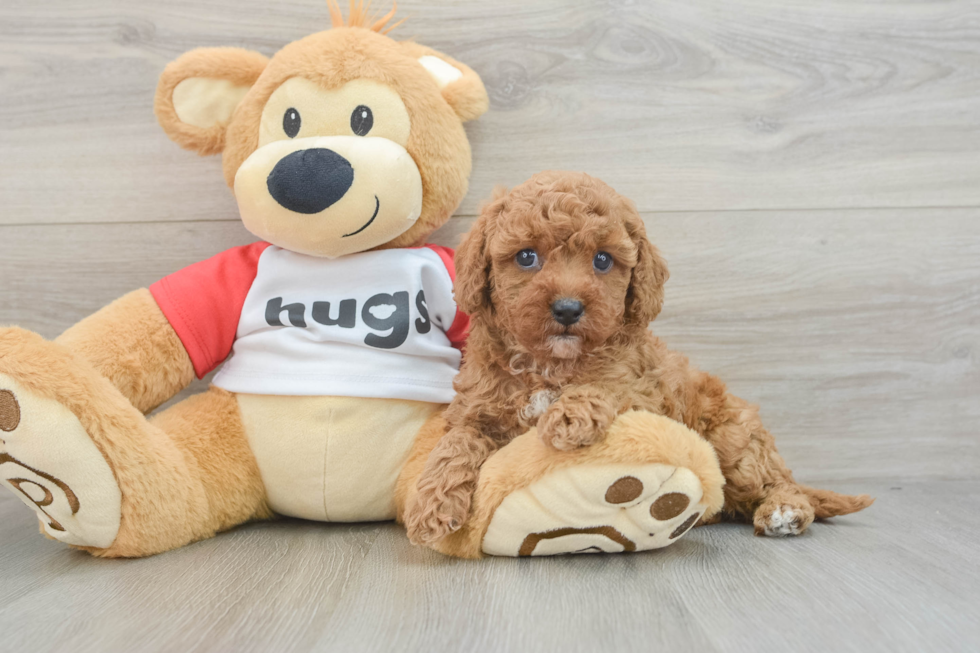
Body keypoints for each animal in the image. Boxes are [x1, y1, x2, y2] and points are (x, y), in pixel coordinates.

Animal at [406, 171, 872, 544]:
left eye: (602, 260)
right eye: (526, 256)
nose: (568, 309)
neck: (550, 363)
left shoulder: (644, 392)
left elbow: (609, 387)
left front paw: (570, 415)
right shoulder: (475, 410)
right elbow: (455, 443)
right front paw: (431, 505)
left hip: (734, 442)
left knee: (772, 481)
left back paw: (784, 510)